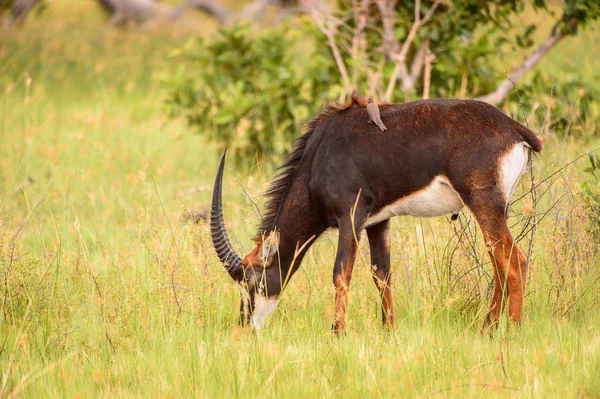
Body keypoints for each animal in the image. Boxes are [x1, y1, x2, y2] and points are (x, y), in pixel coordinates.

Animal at [212, 97, 544, 334]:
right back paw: (487, 329)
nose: (245, 328)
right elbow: (382, 274)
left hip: (483, 202)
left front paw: (337, 333)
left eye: (252, 282)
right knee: (500, 262)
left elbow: (341, 273)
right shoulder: (378, 221)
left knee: (514, 260)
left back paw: (512, 333)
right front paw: (389, 331)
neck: (319, 154)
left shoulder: (351, 216)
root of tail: (515, 129)